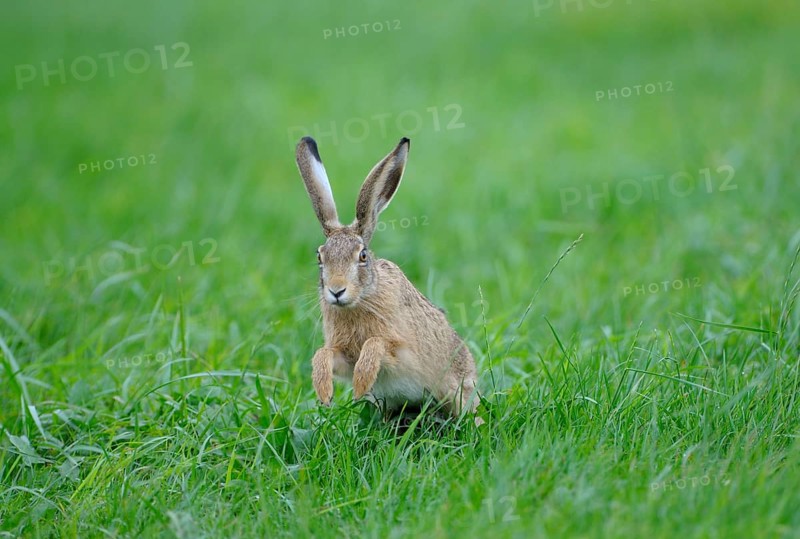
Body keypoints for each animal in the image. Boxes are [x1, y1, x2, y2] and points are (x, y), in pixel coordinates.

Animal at [295, 136, 481, 423]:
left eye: (362, 256)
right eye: (319, 257)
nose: (336, 291)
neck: (363, 297)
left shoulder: (404, 354)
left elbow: (377, 344)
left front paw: (361, 383)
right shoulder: (343, 354)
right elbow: (323, 353)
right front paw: (324, 391)